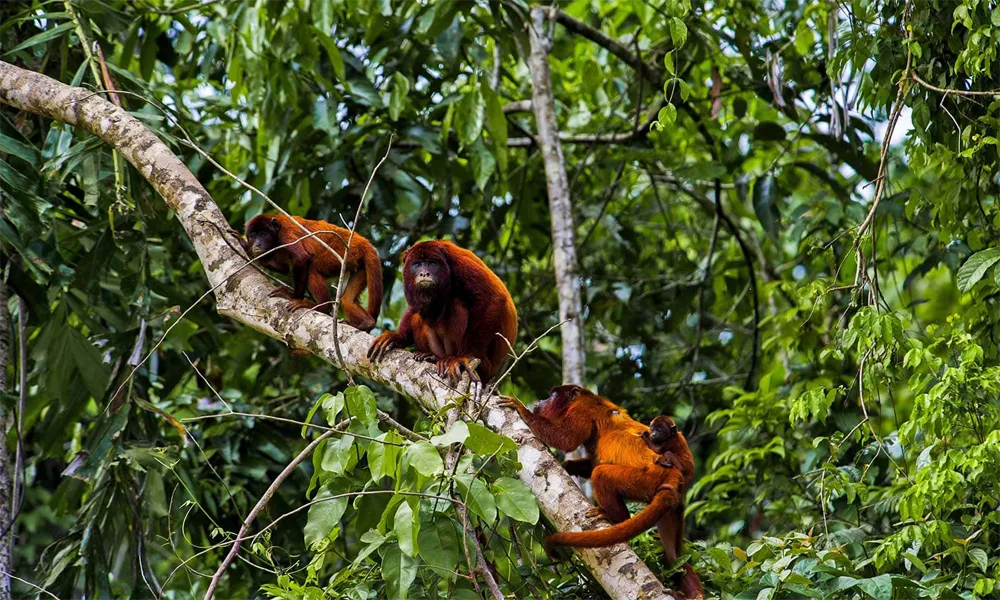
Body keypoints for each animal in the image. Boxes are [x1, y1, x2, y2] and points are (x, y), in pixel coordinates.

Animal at [244, 214, 382, 332]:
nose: (257, 244)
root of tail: (363, 241)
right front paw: (246, 248)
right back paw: (366, 323)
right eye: (253, 236)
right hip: (358, 264)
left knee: (313, 268)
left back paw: (322, 307)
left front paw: (293, 296)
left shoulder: (286, 234)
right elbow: (284, 268)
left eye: (263, 234)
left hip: (345, 252)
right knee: (347, 300)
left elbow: (301, 258)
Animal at [367, 240, 517, 388]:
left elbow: (493, 297)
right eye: (417, 264)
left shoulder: (459, 264)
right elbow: (414, 309)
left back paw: (449, 358)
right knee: (418, 316)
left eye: (432, 264)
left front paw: (466, 356)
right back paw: (430, 356)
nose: (424, 274)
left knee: (456, 302)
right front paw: (398, 337)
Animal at [499, 386, 702, 599]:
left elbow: (567, 439)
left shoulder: (582, 410)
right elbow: (591, 460)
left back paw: (615, 517)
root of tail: (673, 473)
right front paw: (567, 466)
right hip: (672, 506)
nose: (540, 400)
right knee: (674, 556)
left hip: (645, 479)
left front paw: (520, 408)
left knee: (601, 474)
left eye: (552, 395)